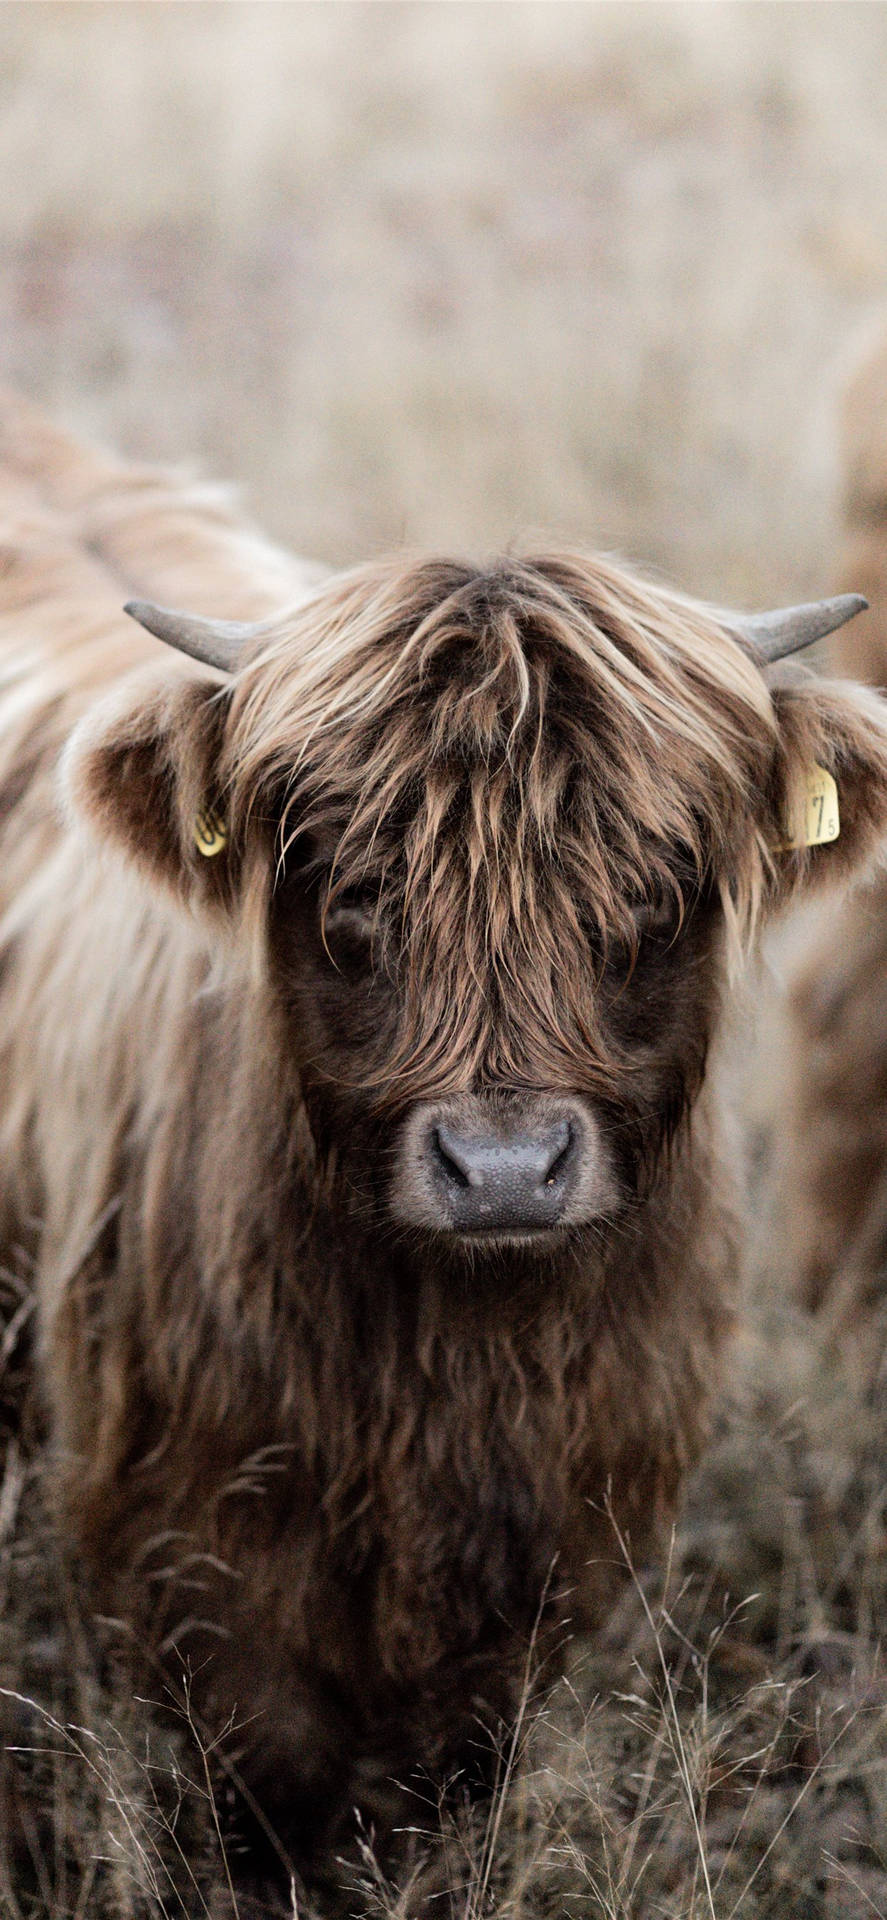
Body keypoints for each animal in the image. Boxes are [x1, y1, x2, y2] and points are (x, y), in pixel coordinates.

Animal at [1, 388, 886, 1903]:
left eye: (650, 888)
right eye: (351, 888)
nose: (505, 1170)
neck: (450, 1361)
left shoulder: (556, 1541)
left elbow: (448, 1785)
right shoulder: (192, 1548)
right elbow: (273, 1792)